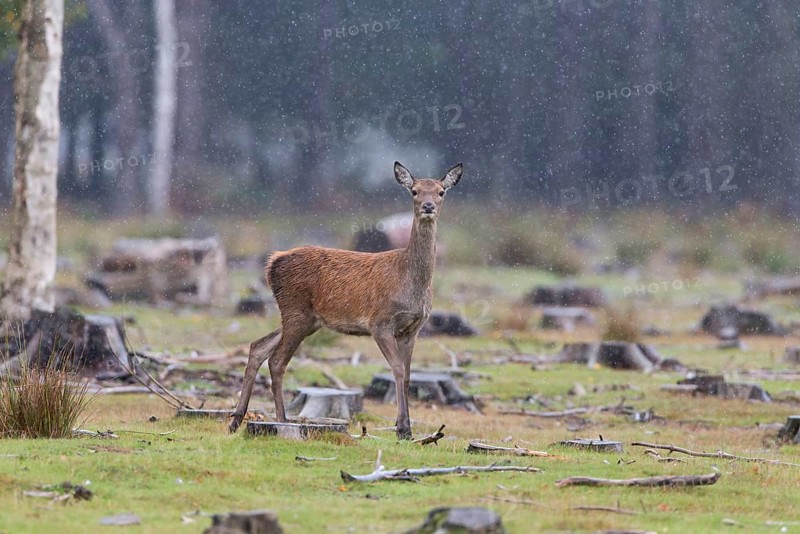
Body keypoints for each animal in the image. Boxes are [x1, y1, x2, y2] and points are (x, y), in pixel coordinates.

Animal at [228, 161, 463, 439]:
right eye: (414, 191)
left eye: (440, 192)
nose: (428, 206)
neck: (410, 282)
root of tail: (272, 263)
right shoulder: (380, 322)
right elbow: (396, 369)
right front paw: (403, 428)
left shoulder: (412, 329)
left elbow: (408, 375)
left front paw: (407, 430)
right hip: (296, 310)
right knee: (276, 360)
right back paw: (283, 420)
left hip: (306, 319)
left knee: (258, 347)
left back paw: (236, 420)